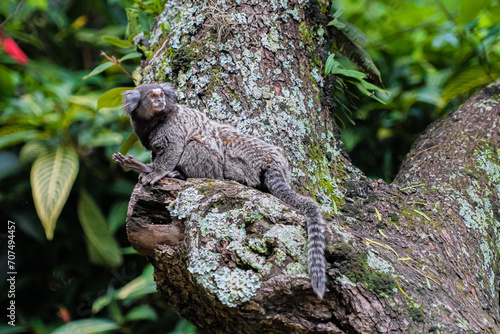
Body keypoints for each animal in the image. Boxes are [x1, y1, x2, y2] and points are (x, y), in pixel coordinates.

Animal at [114, 83, 328, 298]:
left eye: (160, 95)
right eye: (152, 96)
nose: (160, 101)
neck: (154, 121)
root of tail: (272, 161)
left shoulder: (171, 128)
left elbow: (172, 149)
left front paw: (155, 171)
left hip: (217, 164)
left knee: (195, 147)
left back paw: (178, 174)